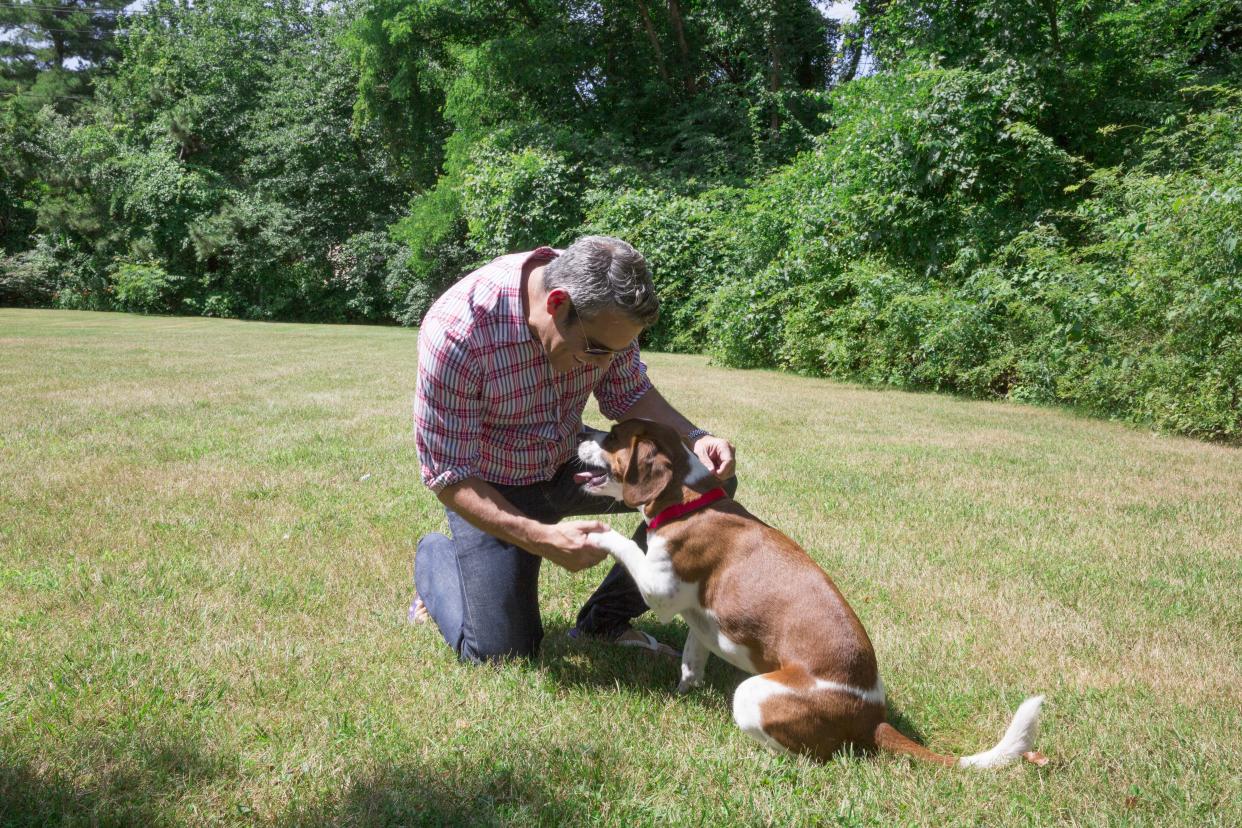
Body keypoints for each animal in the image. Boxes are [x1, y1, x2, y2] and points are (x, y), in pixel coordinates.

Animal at [576, 422, 1043, 769]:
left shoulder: (660, 590)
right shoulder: (698, 623)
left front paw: (596, 533)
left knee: (811, 756)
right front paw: (683, 693)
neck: (689, 502)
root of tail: (872, 717)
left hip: (753, 696)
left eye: (613, 437)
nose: (580, 433)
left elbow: (623, 543)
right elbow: (692, 662)